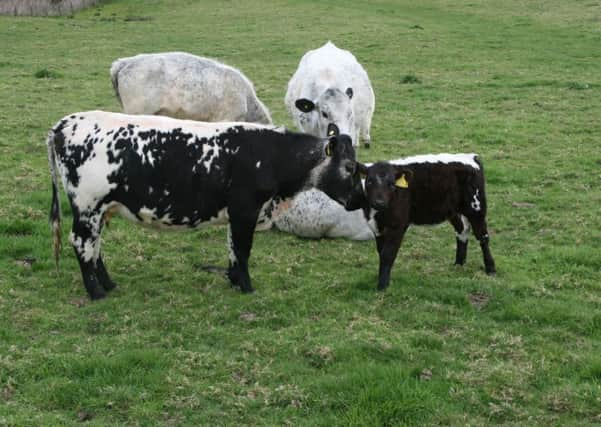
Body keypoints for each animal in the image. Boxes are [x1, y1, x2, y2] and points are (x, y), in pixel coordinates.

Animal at [47, 112, 360, 302]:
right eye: (349, 167)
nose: (358, 199)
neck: (271, 155)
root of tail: (64, 124)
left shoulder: (237, 213)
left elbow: (233, 249)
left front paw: (234, 281)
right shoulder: (245, 209)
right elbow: (242, 250)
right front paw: (247, 287)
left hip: (99, 210)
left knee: (95, 246)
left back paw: (109, 284)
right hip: (87, 207)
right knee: (83, 244)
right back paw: (96, 292)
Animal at [356, 154, 496, 290]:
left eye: (391, 184)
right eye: (369, 182)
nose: (379, 202)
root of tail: (471, 157)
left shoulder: (398, 225)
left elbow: (388, 254)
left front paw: (382, 286)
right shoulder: (377, 227)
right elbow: (381, 252)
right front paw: (383, 279)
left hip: (476, 208)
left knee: (483, 237)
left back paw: (491, 269)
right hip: (453, 211)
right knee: (462, 231)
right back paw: (458, 264)